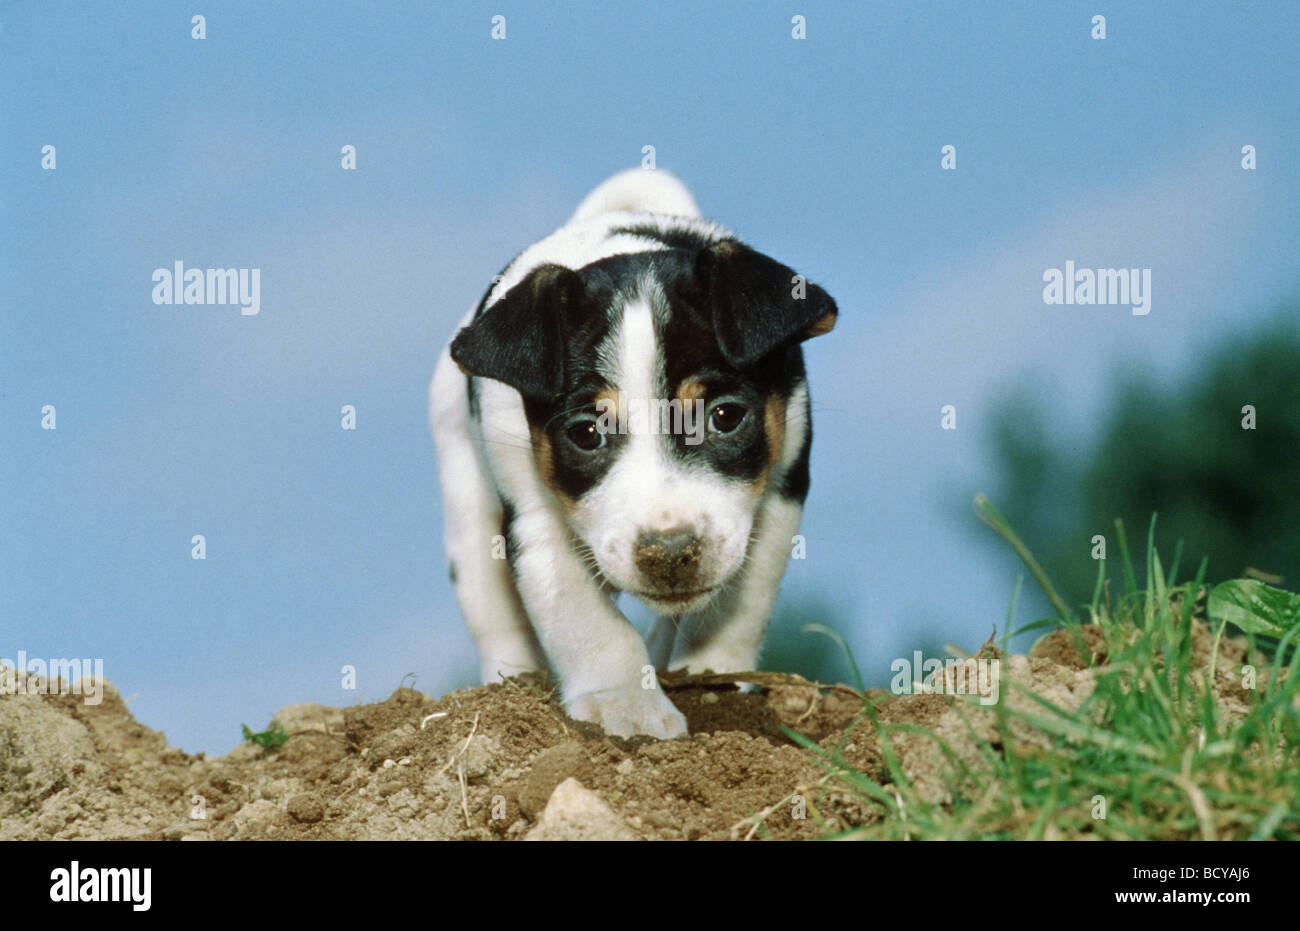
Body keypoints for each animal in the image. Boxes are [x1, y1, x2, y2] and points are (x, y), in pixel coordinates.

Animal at [431, 165, 837, 733]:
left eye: (725, 416)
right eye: (586, 433)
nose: (668, 555)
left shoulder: (779, 494)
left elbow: (736, 606)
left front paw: (713, 677)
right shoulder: (535, 518)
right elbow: (588, 622)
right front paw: (625, 703)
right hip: (466, 507)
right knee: (494, 615)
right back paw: (506, 688)